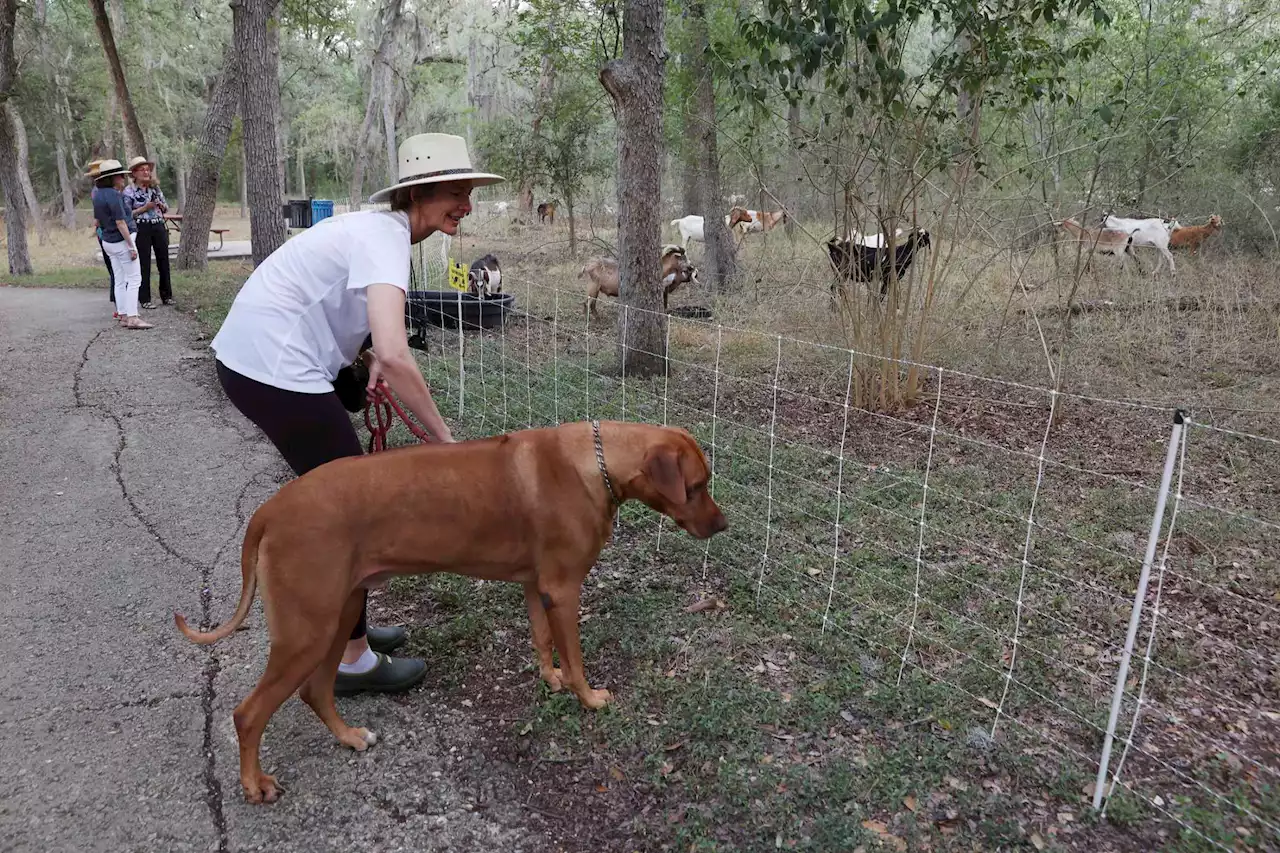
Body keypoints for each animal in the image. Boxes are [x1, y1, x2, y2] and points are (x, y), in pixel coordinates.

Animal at [175, 422, 727, 799]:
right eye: (697, 486)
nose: (722, 526)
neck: (596, 462)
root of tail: (268, 511)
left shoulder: (537, 587)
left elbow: (542, 640)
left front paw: (550, 679)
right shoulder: (565, 589)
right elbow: (575, 657)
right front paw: (587, 697)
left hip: (340, 610)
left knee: (315, 689)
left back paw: (350, 737)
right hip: (307, 627)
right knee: (248, 713)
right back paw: (254, 783)